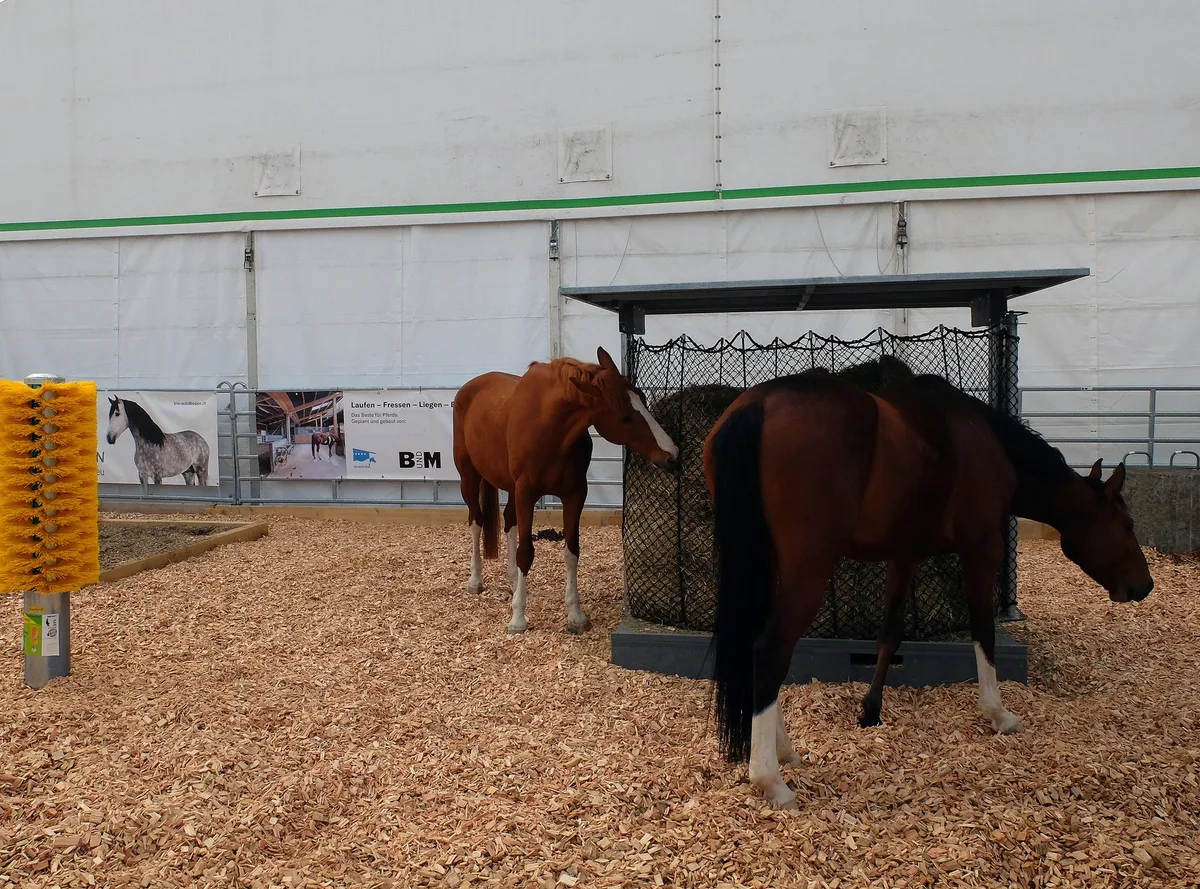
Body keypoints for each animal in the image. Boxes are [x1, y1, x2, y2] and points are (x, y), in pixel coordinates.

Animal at [454, 346, 680, 635]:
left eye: (641, 398)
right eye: (625, 417)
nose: (672, 455)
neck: (550, 427)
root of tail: (469, 388)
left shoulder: (574, 494)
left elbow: (572, 552)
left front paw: (576, 615)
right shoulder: (526, 493)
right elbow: (526, 552)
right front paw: (518, 619)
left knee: (509, 521)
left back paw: (515, 581)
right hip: (469, 476)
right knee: (476, 521)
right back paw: (475, 581)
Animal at [702, 368, 1154, 809]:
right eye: (1127, 525)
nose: (1145, 584)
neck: (983, 440)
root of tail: (759, 403)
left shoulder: (905, 556)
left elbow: (889, 636)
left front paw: (871, 711)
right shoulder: (980, 550)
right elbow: (983, 633)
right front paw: (998, 713)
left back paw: (783, 750)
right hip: (808, 569)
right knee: (770, 650)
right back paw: (771, 779)